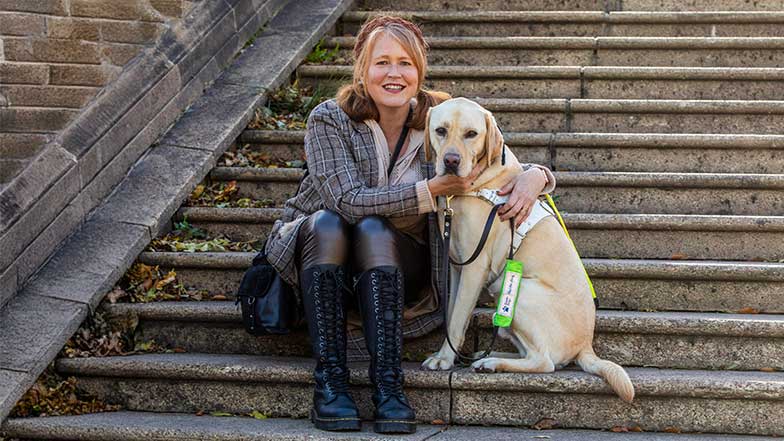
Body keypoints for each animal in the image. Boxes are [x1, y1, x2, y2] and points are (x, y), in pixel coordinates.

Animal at [420, 97, 632, 402]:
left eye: (471, 134)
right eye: (440, 130)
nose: (450, 161)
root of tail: (586, 345)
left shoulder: (474, 266)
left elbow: (458, 317)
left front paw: (444, 358)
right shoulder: (456, 265)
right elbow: (452, 314)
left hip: (515, 291)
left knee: (545, 362)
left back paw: (492, 362)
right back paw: (486, 357)